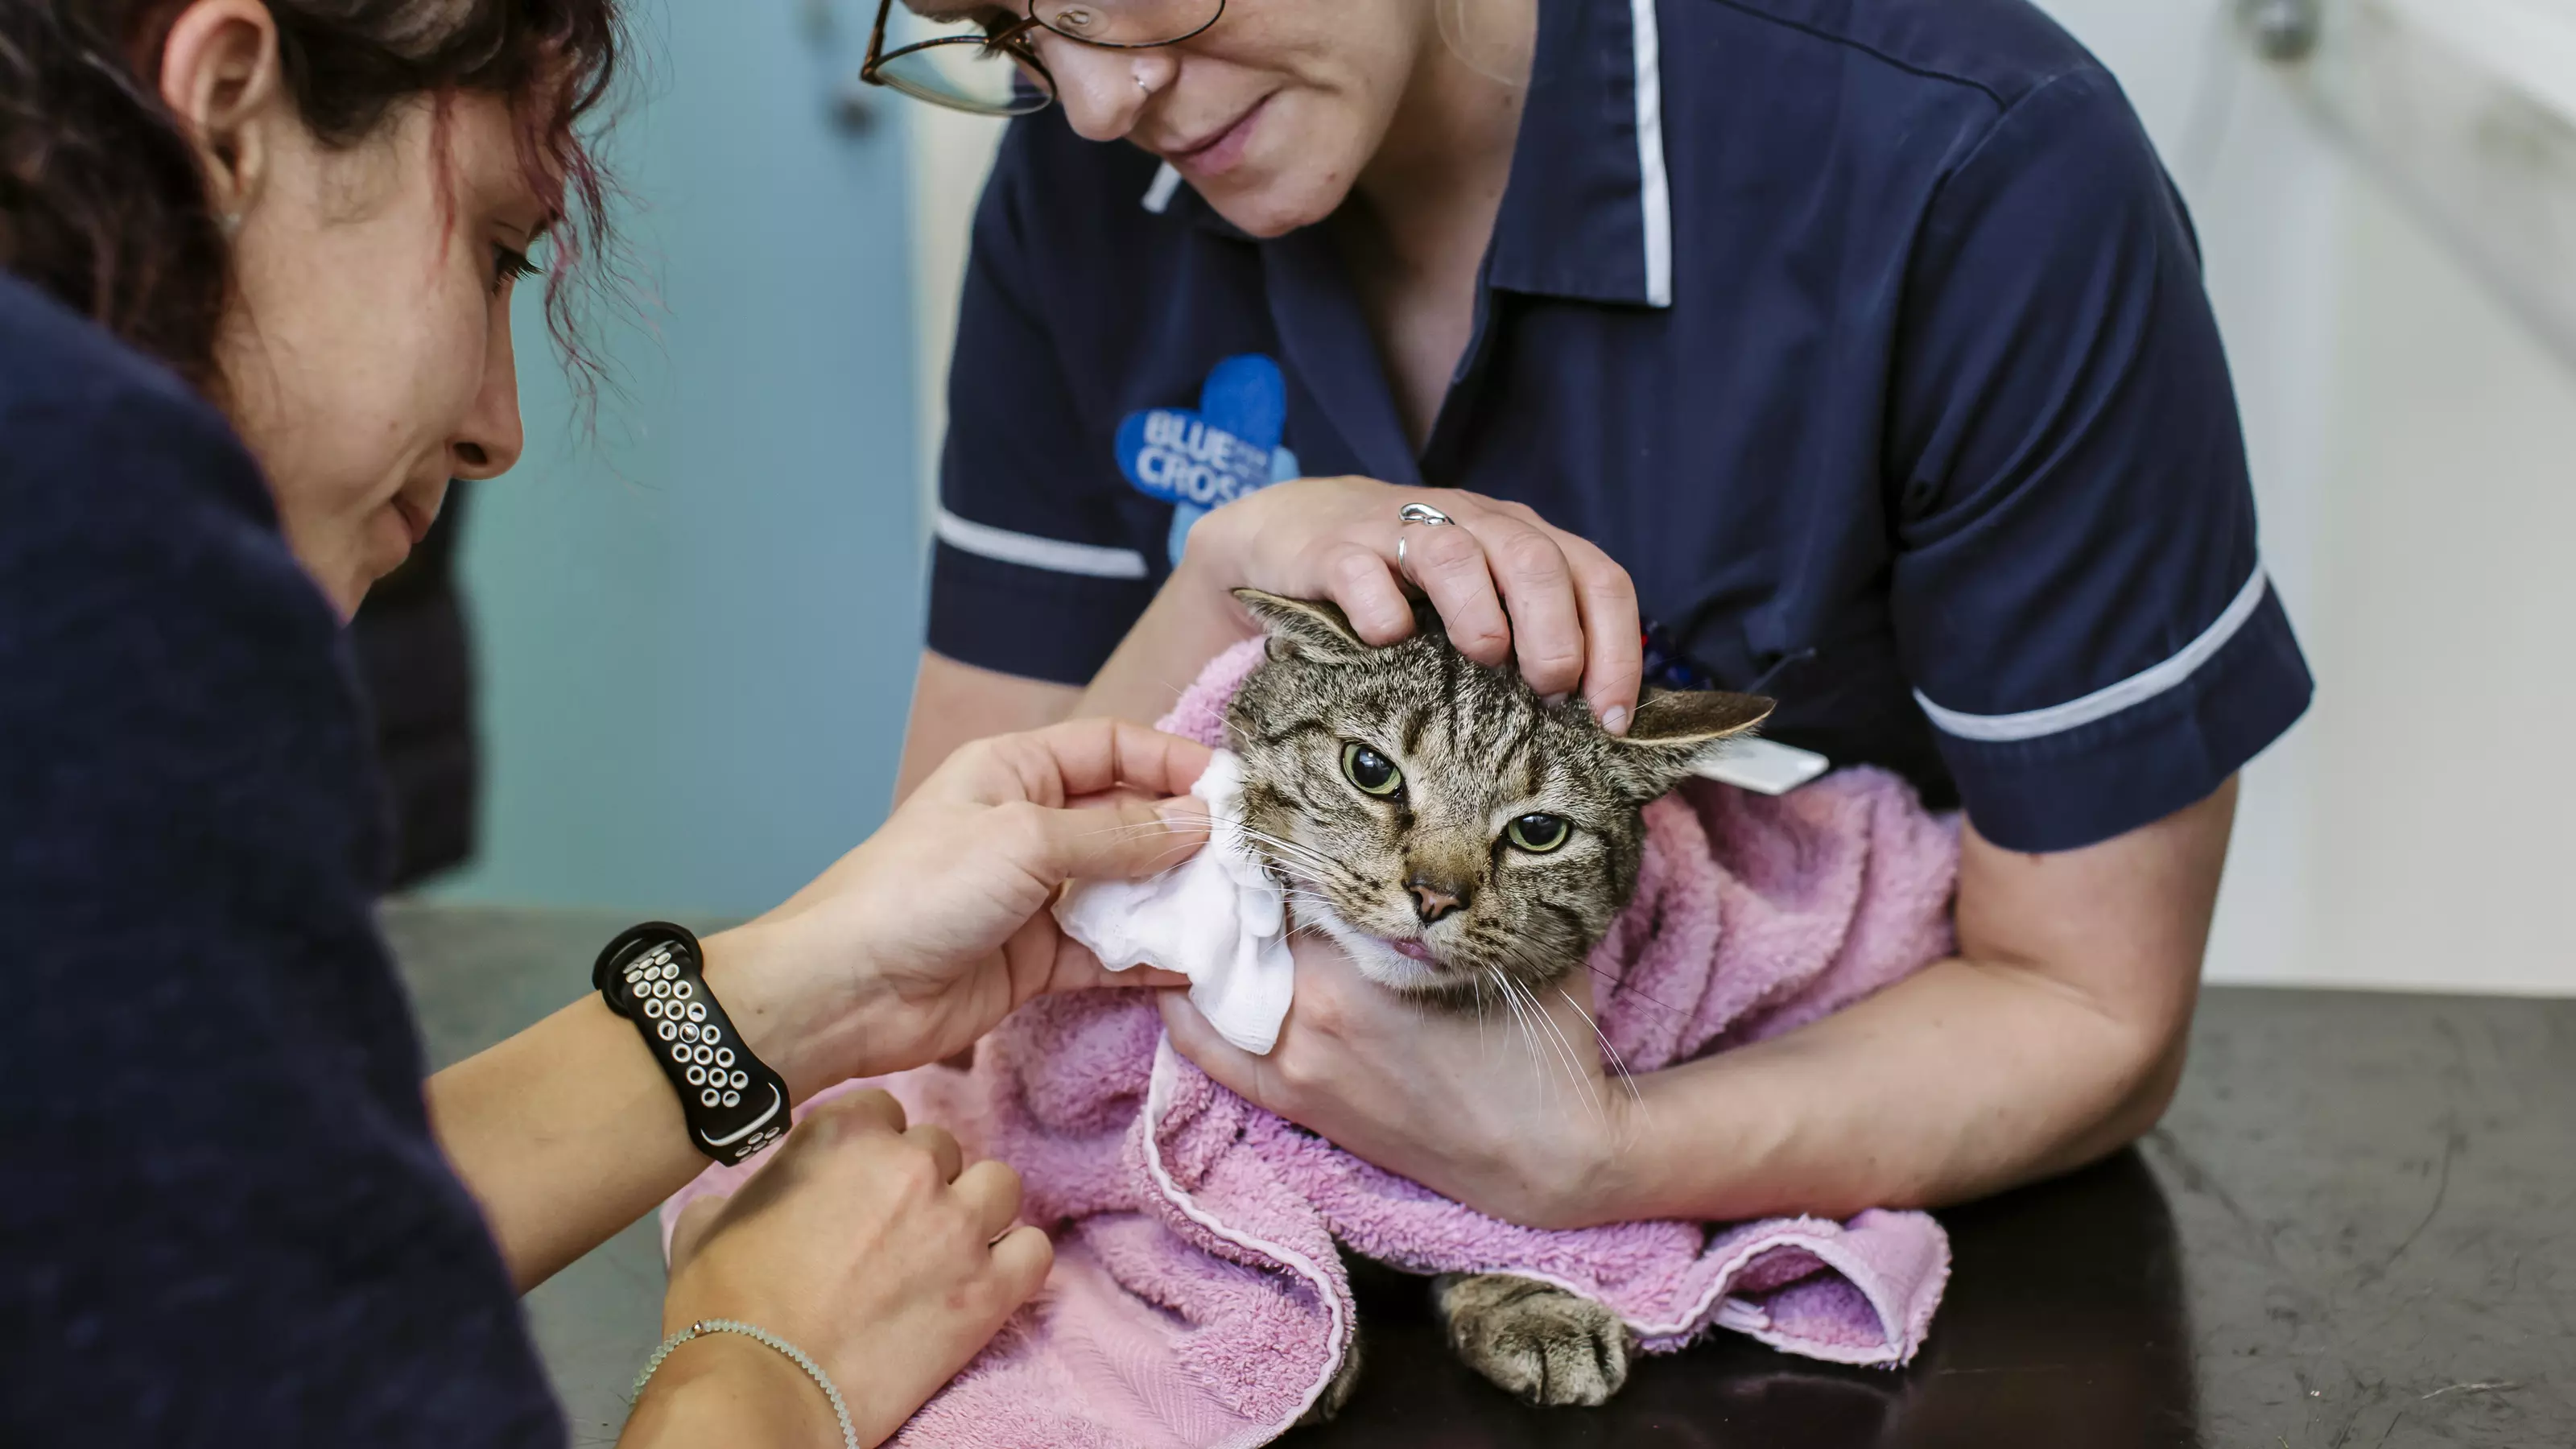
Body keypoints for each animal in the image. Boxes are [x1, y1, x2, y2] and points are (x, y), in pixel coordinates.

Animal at [1220, 582, 1772, 1402]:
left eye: (1539, 832)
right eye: (1369, 768)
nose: (1433, 894)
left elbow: (1490, 1215)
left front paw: (1533, 1300)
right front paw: (1286, 1325)